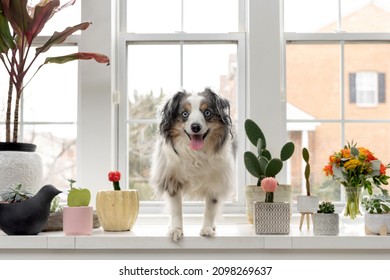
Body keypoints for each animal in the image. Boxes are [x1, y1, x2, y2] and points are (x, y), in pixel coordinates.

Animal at [149, 87, 236, 241]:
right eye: (185, 114)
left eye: (207, 113)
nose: (195, 127)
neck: (196, 154)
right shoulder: (171, 179)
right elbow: (176, 209)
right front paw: (176, 230)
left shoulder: (217, 180)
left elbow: (211, 207)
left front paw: (207, 229)